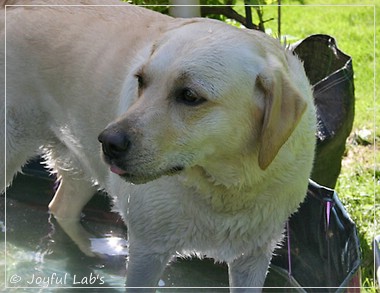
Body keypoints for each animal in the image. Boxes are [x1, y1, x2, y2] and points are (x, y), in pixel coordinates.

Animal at [2, 0, 316, 290]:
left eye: (189, 96)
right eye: (141, 81)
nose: (108, 142)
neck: (228, 188)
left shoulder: (254, 257)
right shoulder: (147, 251)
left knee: (61, 207)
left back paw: (91, 250)